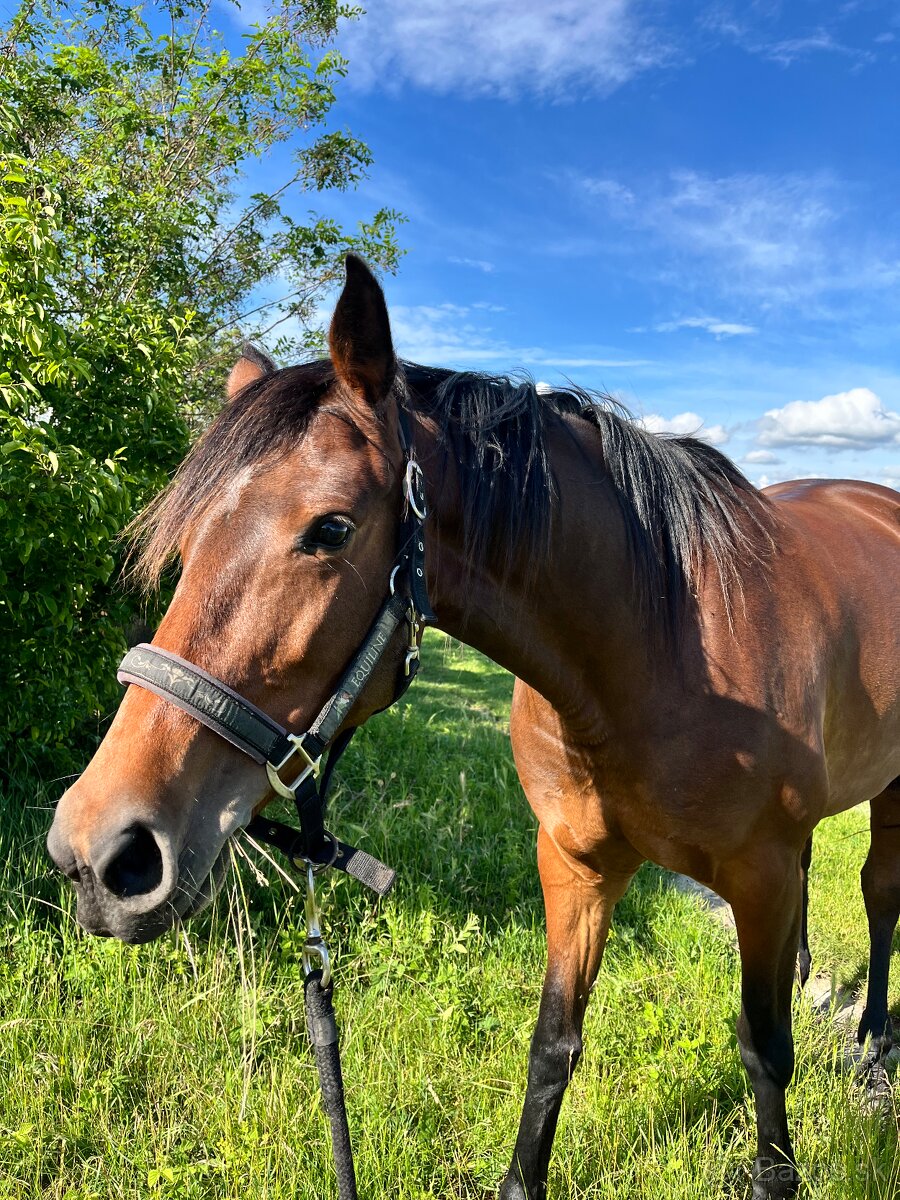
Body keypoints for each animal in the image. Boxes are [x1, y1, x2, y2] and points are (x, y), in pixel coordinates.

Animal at [51, 255, 900, 1200]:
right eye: (189, 539)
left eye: (332, 528)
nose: (99, 851)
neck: (664, 651)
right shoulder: (575, 868)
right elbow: (554, 1045)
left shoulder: (757, 874)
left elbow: (763, 1050)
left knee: (880, 893)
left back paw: (875, 1042)